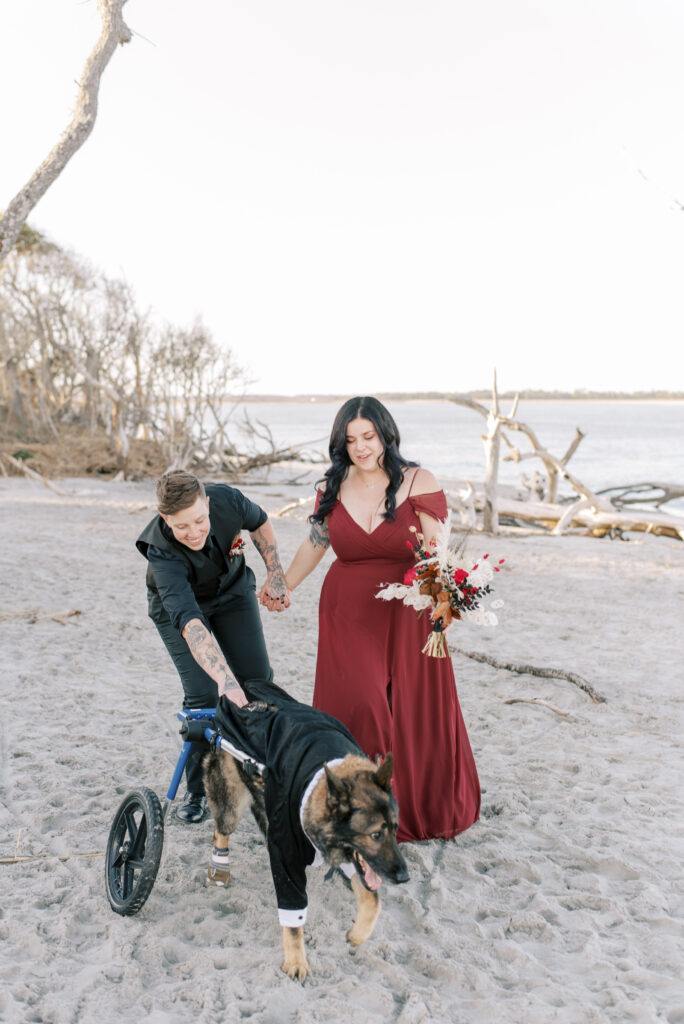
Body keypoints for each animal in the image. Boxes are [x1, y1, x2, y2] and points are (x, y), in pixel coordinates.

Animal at [201, 684, 405, 978]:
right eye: (375, 835)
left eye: (396, 829)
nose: (404, 877)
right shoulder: (288, 862)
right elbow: (294, 922)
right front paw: (296, 961)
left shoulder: (347, 857)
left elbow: (372, 899)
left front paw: (357, 934)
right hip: (231, 807)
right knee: (221, 831)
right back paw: (218, 868)